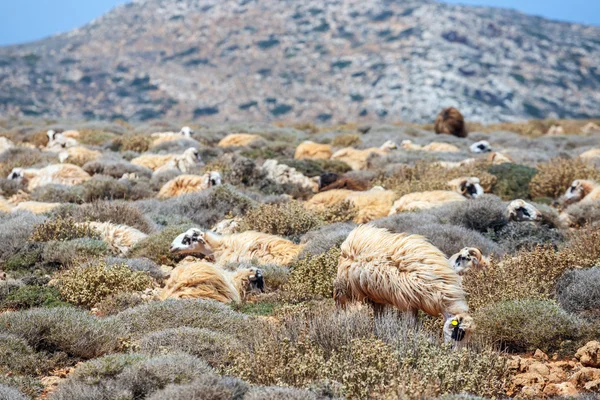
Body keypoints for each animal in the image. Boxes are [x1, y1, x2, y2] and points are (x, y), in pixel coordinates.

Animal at [332, 225, 474, 344]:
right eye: (459, 333)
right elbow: (412, 325)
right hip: (345, 293)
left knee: (378, 316)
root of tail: (352, 239)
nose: (456, 355)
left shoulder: (414, 302)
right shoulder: (407, 303)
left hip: (376, 297)